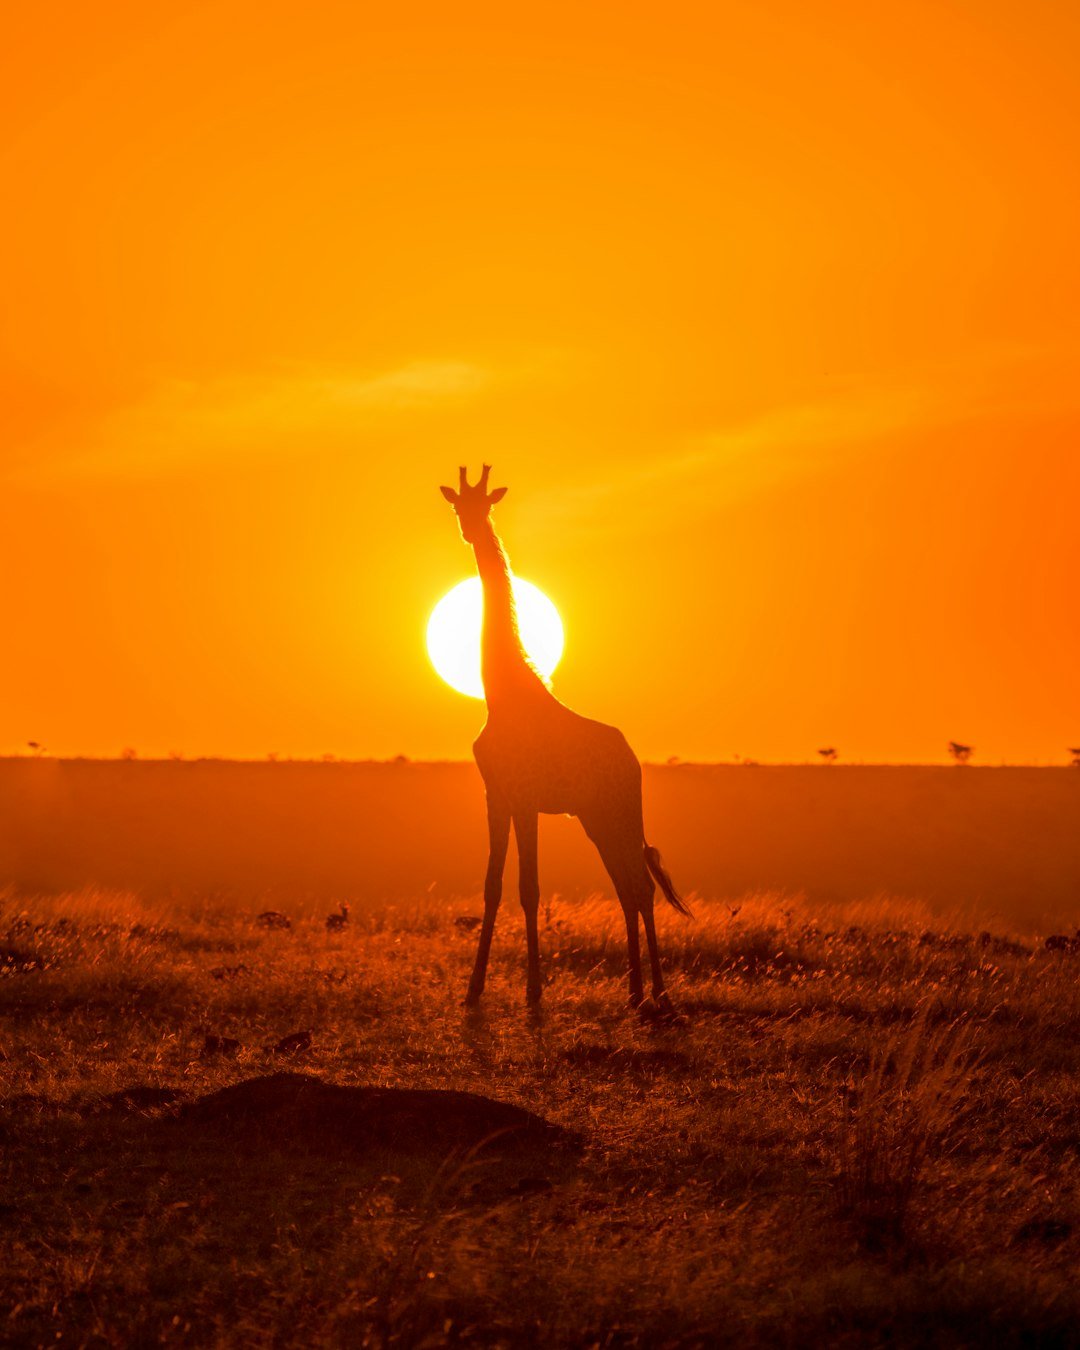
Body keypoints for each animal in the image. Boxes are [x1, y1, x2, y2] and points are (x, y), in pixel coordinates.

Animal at [440, 465, 691, 1010]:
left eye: (485, 504)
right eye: (456, 505)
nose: (470, 531)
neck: (502, 693)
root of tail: (632, 760)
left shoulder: (526, 800)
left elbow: (529, 888)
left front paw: (534, 990)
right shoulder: (497, 797)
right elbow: (492, 886)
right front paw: (473, 991)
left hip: (620, 812)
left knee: (640, 886)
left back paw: (658, 994)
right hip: (596, 818)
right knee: (627, 887)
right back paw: (635, 992)